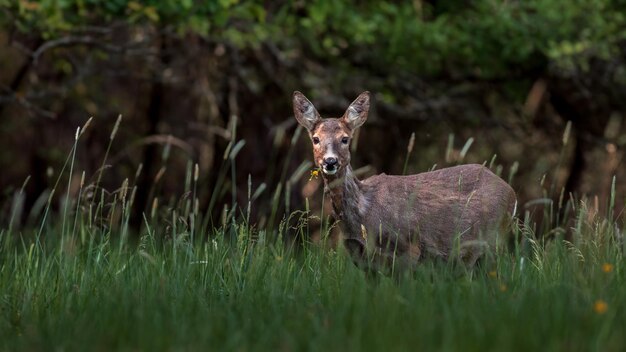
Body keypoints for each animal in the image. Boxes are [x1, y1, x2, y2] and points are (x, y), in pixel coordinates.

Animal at [292, 90, 516, 270]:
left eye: (345, 139)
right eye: (316, 139)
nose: (330, 161)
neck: (364, 210)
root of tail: (511, 191)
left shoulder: (409, 248)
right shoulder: (360, 257)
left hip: (491, 239)